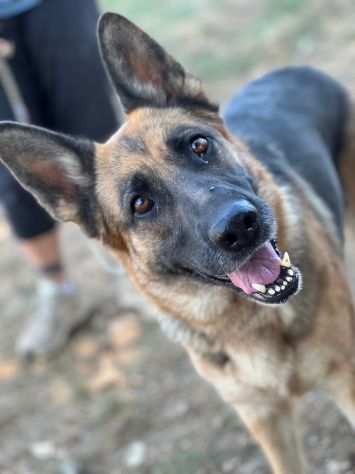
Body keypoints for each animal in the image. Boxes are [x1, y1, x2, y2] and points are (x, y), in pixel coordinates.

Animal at [0, 12, 355, 474]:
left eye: (199, 145)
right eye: (141, 204)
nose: (240, 226)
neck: (249, 320)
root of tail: (292, 68)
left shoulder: (345, 379)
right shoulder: (265, 419)